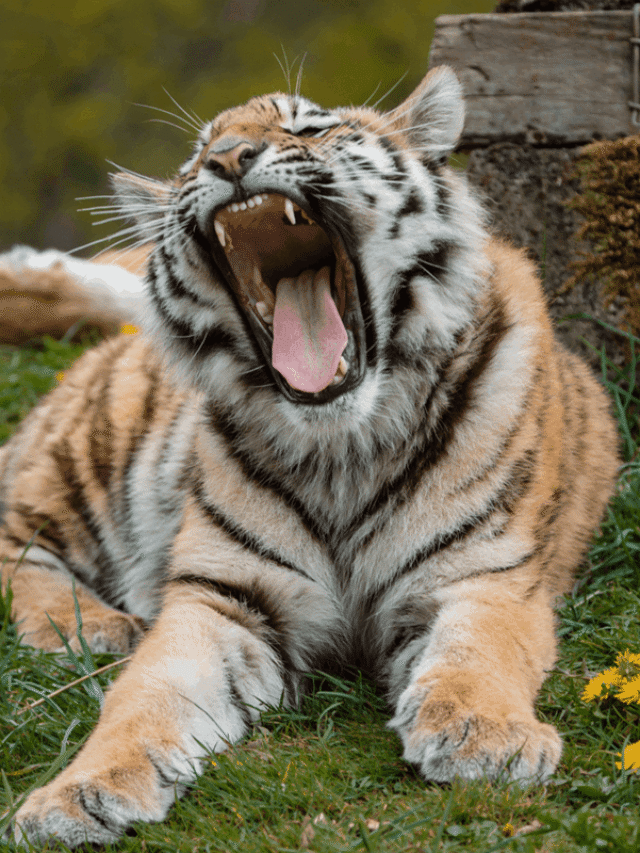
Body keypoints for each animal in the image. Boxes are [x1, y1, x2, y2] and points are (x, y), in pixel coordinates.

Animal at [1, 66, 619, 848]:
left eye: (308, 127)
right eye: (195, 156)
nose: (228, 158)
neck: (341, 447)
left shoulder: (484, 575)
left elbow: (478, 654)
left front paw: (485, 737)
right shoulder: (224, 598)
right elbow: (144, 698)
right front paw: (72, 796)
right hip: (86, 457)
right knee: (18, 547)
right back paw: (96, 628)